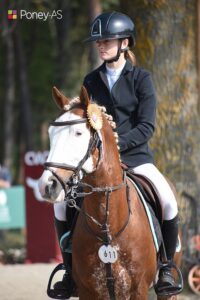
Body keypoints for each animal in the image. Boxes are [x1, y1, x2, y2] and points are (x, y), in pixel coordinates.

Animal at [38, 86, 178, 300]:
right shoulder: (89, 291)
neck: (107, 224)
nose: (47, 186)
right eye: (51, 134)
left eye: (78, 133)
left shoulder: (138, 290)